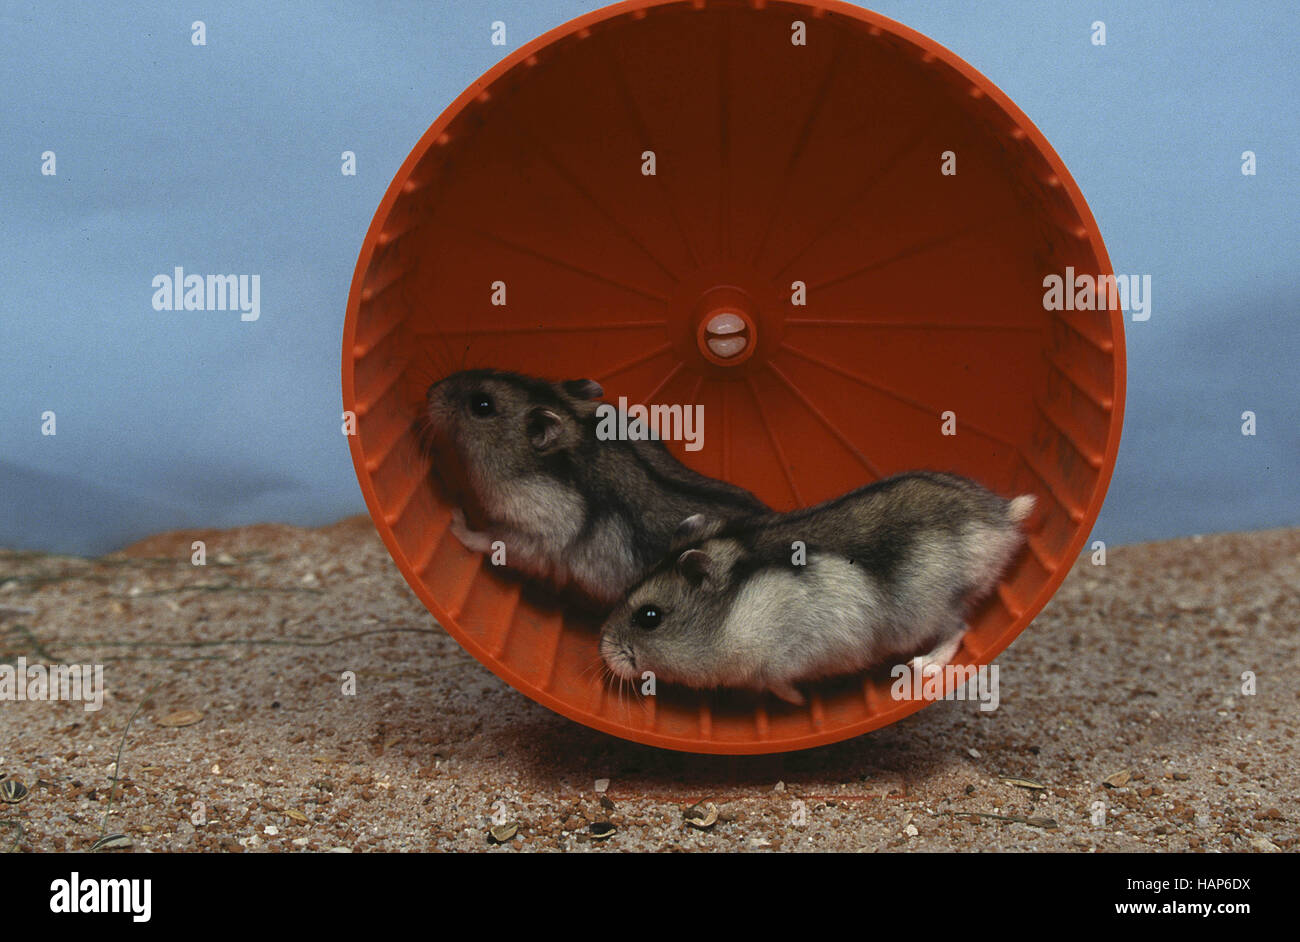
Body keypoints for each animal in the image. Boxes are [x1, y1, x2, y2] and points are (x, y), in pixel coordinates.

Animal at [598, 471, 1036, 705]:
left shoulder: (779, 658)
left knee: (958, 630)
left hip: (929, 612)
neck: (730, 613)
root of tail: (1002, 517)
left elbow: (776, 682)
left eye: (649, 617)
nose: (601, 650)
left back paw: (923, 666)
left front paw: (799, 701)